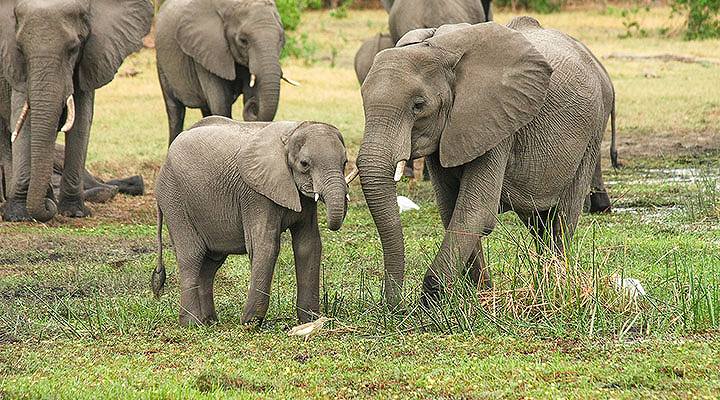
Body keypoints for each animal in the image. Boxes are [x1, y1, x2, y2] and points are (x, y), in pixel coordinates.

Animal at [0, 0, 153, 222]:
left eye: (73, 49)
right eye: (20, 49)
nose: (47, 207)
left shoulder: (90, 59)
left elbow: (81, 120)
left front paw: (74, 212)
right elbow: (22, 121)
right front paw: (18, 216)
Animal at [153, 117, 354, 326]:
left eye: (344, 162)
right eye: (304, 164)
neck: (291, 133)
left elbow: (309, 245)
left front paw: (310, 320)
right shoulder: (255, 194)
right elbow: (265, 245)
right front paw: (250, 323)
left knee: (210, 263)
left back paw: (210, 322)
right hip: (174, 199)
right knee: (192, 256)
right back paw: (192, 323)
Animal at [156, 0, 286, 144]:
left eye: (281, 39)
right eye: (243, 40)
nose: (253, 105)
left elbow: (248, 93)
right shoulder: (208, 50)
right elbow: (220, 104)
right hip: (161, 63)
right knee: (175, 112)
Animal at [358, 18, 616, 306]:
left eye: (418, 105)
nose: (397, 306)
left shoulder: (497, 122)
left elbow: (475, 211)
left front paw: (431, 305)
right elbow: (451, 209)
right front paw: (481, 297)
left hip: (592, 132)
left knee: (562, 218)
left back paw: (555, 287)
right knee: (538, 222)